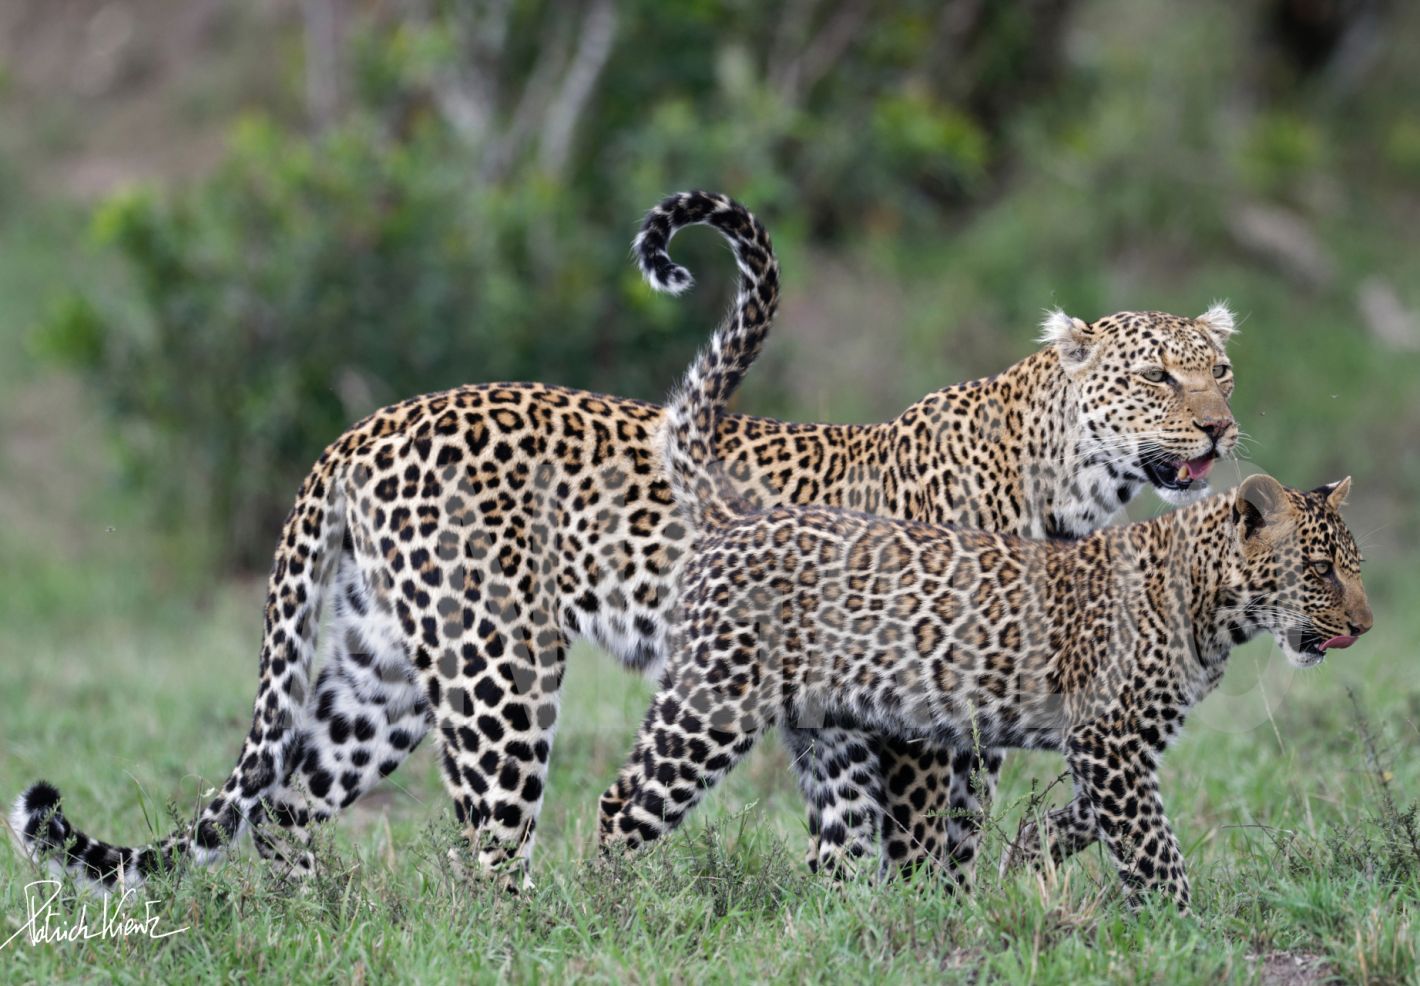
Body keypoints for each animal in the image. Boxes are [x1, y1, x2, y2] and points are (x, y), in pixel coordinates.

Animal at [8, 191, 1232, 886]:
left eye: (1218, 367)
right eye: (1155, 377)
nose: (1222, 425)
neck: (1063, 480)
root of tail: (363, 428)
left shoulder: (864, 712)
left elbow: (872, 849)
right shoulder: (917, 717)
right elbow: (931, 845)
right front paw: (933, 931)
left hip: (382, 671)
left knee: (287, 805)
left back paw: (305, 924)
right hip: (500, 666)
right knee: (486, 846)